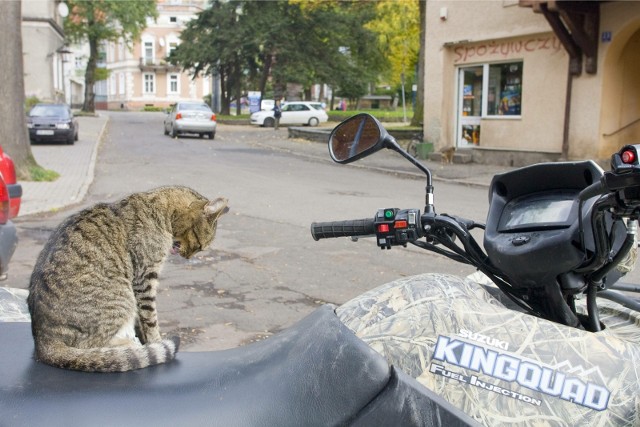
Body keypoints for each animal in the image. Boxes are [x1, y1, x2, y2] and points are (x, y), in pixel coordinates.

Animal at [26, 186, 230, 372]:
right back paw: (127, 345)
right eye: (200, 246)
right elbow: (150, 319)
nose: (188, 257)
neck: (159, 207)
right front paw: (156, 341)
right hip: (122, 299)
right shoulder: (145, 278)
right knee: (89, 346)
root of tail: (42, 341)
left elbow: (143, 320)